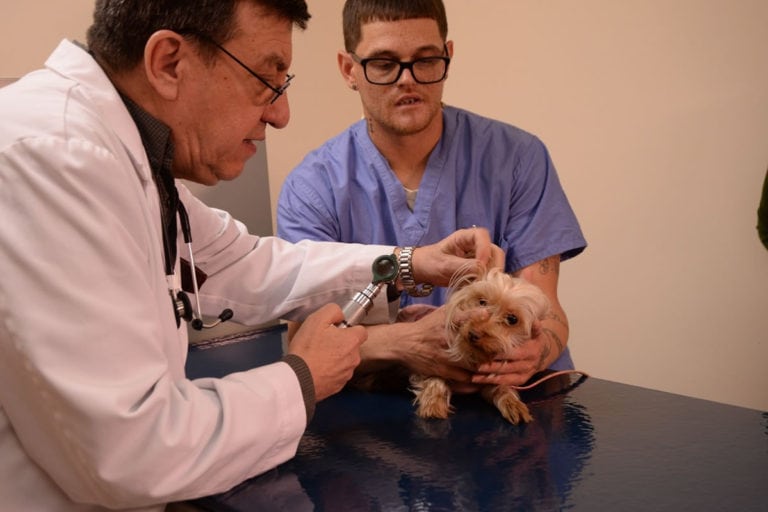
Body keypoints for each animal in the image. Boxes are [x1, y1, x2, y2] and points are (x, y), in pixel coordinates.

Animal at [412, 268, 548, 424]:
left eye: (512, 319)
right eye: (482, 302)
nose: (473, 334)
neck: (474, 355)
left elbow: (500, 388)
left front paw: (513, 404)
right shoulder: (431, 363)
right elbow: (435, 377)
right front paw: (433, 404)